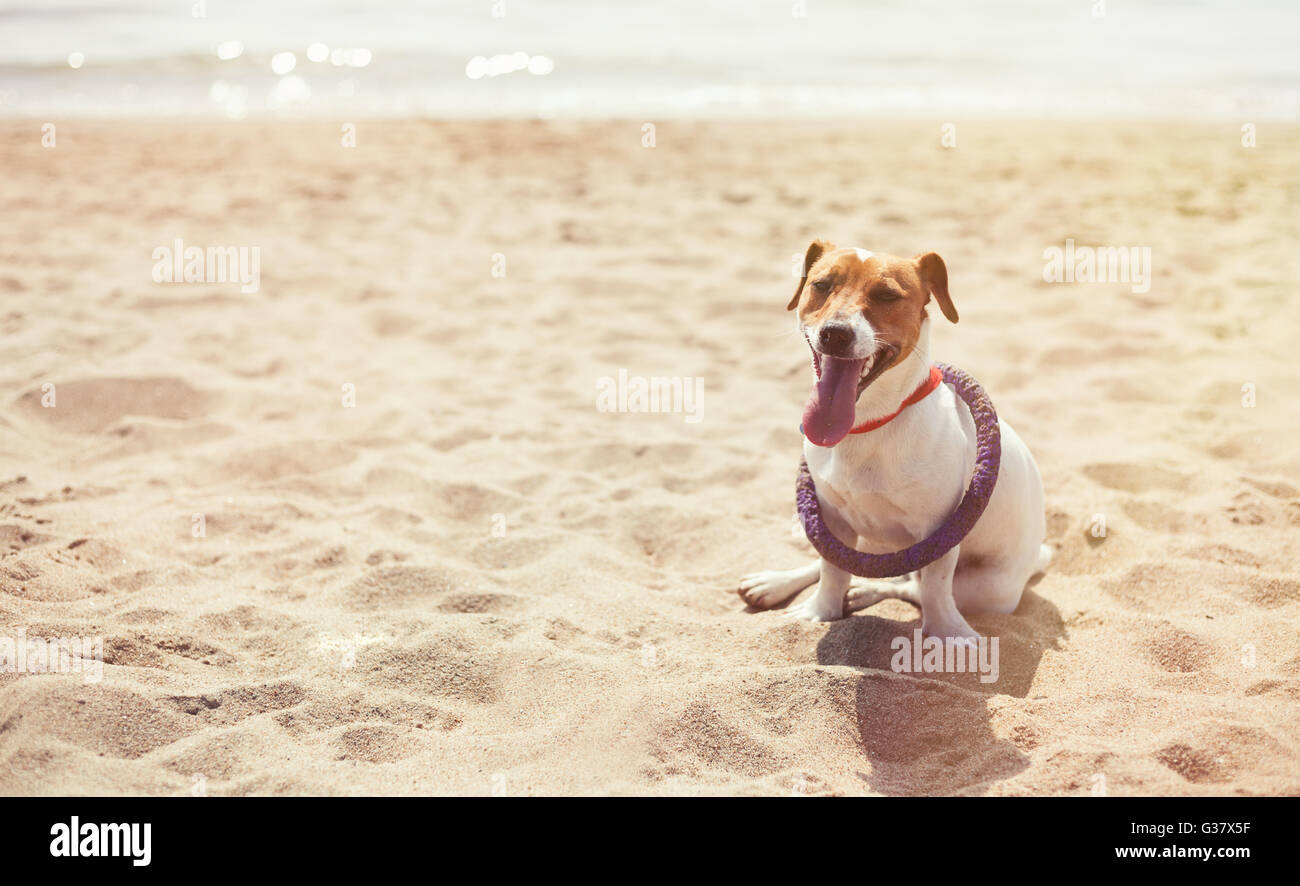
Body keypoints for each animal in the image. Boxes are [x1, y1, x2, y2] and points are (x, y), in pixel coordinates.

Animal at [743, 241, 1045, 641]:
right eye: (821, 285)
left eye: (886, 295)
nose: (835, 334)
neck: (869, 424)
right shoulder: (831, 516)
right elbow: (831, 569)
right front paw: (820, 612)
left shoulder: (938, 531)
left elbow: (934, 587)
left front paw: (947, 634)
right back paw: (775, 583)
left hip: (986, 587)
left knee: (910, 586)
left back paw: (865, 589)